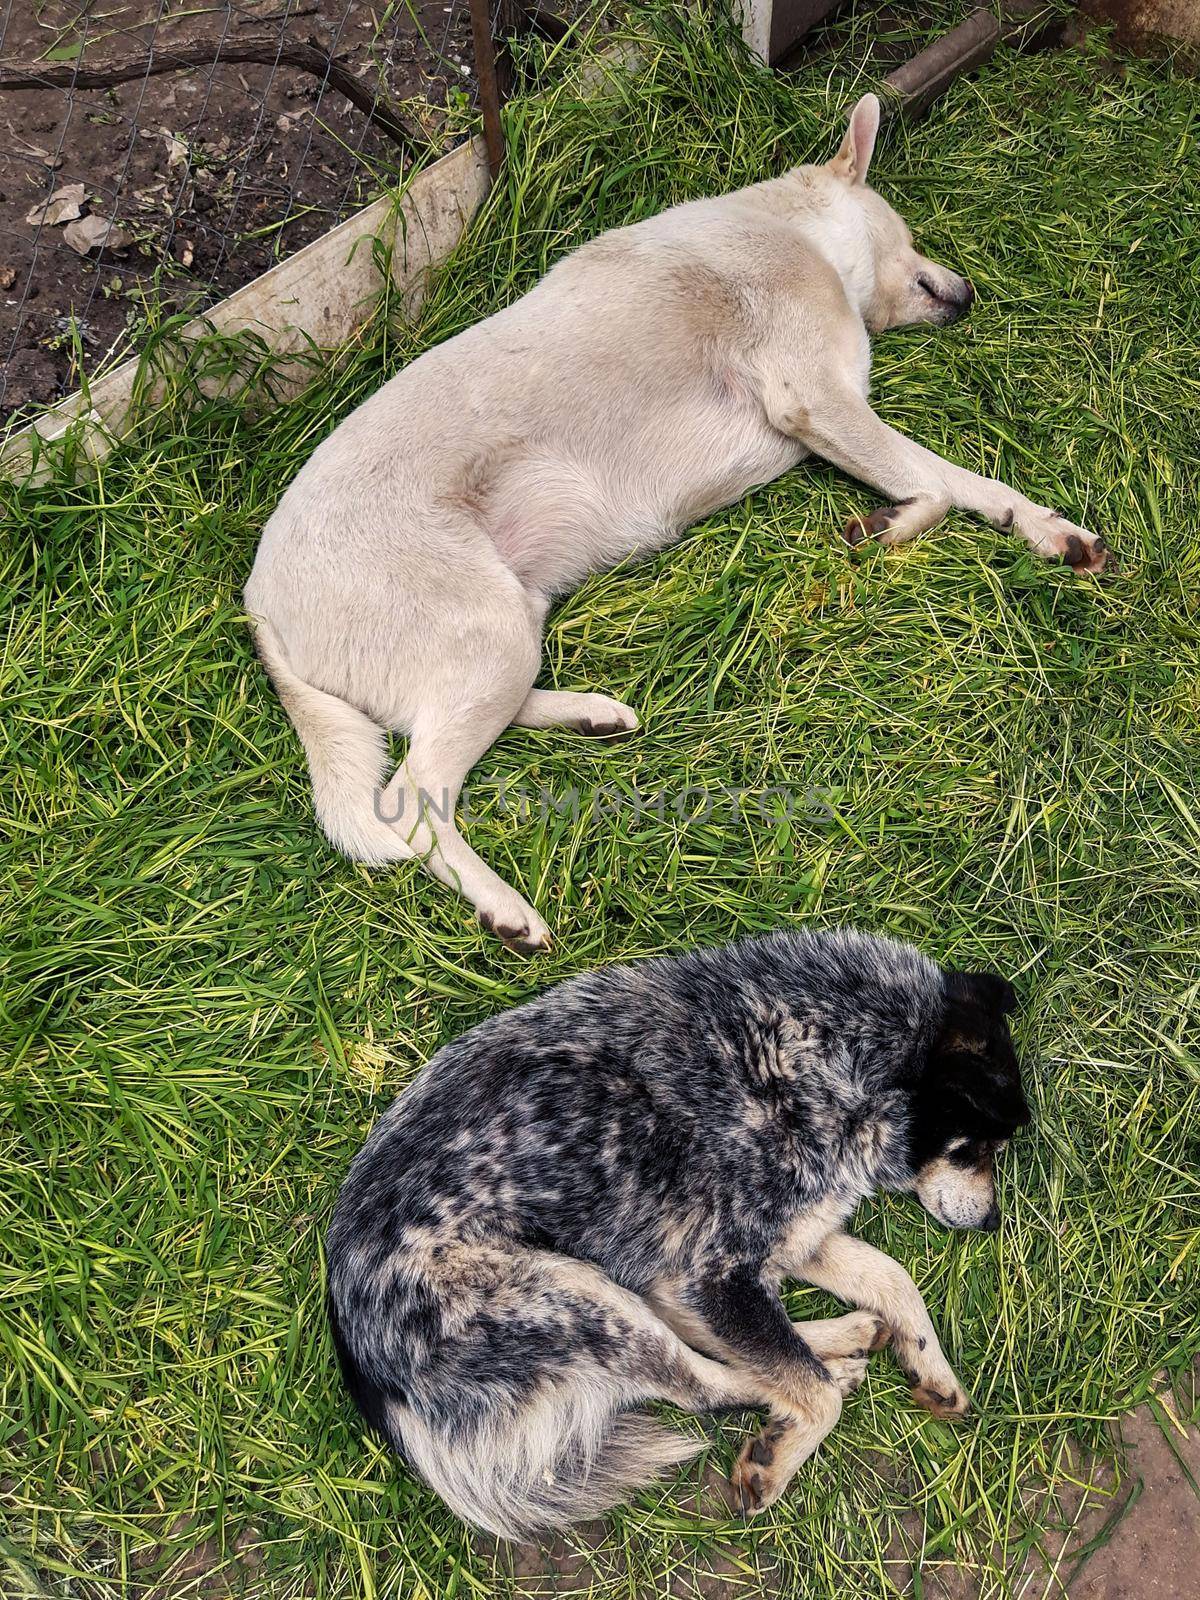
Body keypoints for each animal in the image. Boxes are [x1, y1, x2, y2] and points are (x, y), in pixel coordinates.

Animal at [246, 96, 1107, 947]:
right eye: (910, 232)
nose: (968, 293)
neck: (799, 233)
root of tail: (256, 599)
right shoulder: (817, 401)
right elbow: (946, 484)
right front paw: (958, 523)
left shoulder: (827, 415)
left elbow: (946, 485)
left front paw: (999, 527)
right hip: (486, 635)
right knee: (413, 799)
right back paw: (505, 908)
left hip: (511, 624)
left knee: (462, 725)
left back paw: (591, 716)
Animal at [324, 928, 1030, 1536]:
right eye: (975, 1148)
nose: (993, 1222)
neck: (822, 1052)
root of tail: (364, 1364)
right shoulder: (719, 1273)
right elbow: (813, 1394)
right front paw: (778, 1457)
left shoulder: (789, 1239)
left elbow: (891, 1275)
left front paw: (930, 1367)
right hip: (576, 1299)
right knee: (702, 1386)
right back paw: (830, 1369)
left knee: (704, 1341)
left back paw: (848, 1336)